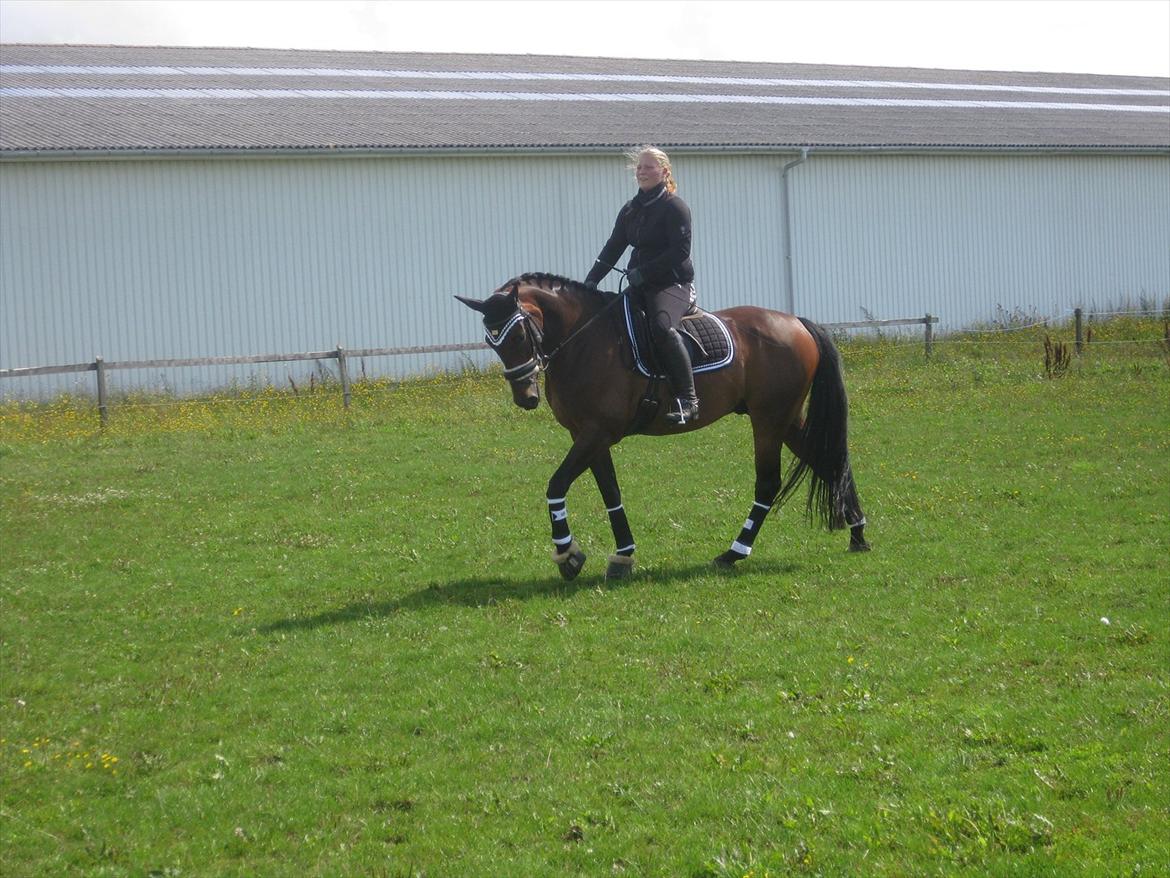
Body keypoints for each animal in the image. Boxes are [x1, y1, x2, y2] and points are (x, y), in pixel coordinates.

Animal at [456, 271, 870, 580]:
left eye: (518, 334)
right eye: (491, 341)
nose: (526, 397)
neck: (583, 340)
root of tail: (796, 322)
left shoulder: (596, 433)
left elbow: (556, 484)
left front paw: (568, 555)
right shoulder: (589, 435)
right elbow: (610, 493)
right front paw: (623, 556)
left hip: (769, 420)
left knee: (769, 482)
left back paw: (733, 554)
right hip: (786, 419)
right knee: (827, 461)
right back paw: (858, 534)